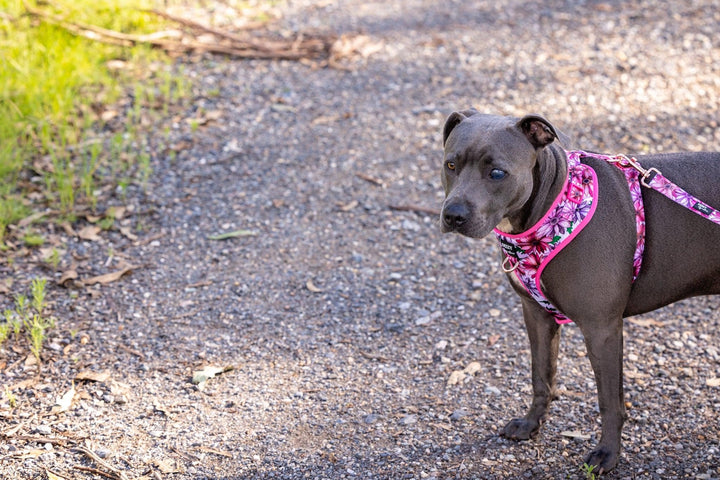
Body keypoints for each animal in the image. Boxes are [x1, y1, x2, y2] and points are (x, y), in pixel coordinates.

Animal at [438, 109, 720, 472]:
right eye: (451, 165)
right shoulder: (537, 315)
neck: (553, 205)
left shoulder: (602, 329)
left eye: (497, 172)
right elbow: (541, 377)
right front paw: (531, 424)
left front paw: (608, 454)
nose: (453, 215)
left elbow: (609, 401)